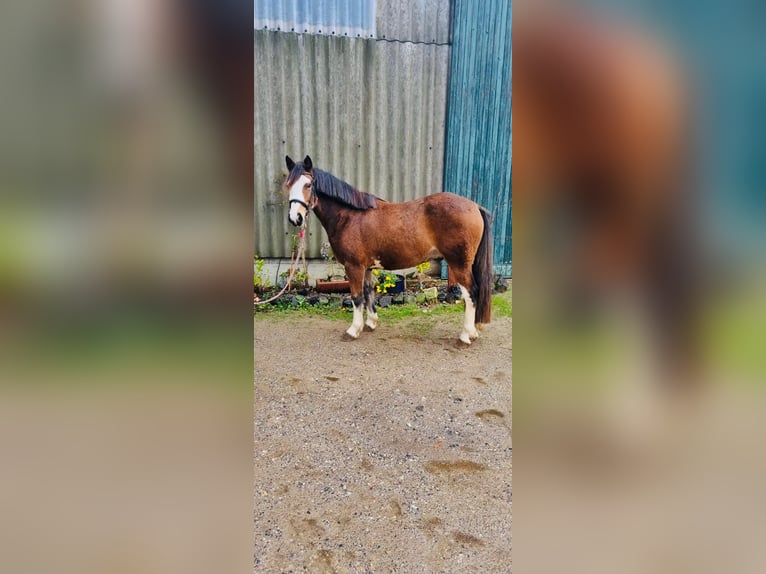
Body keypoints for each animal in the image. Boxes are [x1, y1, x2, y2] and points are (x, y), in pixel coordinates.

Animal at [284, 154, 496, 346]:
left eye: (308, 185)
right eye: (288, 185)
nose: (295, 218)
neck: (349, 216)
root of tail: (474, 206)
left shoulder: (353, 266)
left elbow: (356, 297)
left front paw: (353, 330)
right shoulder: (366, 267)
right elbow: (368, 292)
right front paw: (370, 323)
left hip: (459, 264)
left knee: (471, 293)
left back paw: (465, 336)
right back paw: (473, 332)